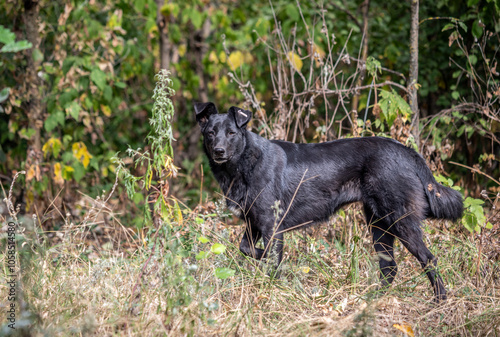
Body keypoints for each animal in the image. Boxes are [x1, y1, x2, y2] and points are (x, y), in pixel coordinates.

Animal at [196, 101, 464, 300]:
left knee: (428, 259)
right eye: (210, 133)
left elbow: (272, 261)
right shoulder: (253, 223)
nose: (219, 151)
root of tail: (405, 150)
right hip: (379, 224)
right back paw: (374, 300)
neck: (243, 165)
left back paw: (440, 300)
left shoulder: (272, 226)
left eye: (231, 133)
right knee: (389, 267)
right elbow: (246, 249)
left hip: (400, 220)